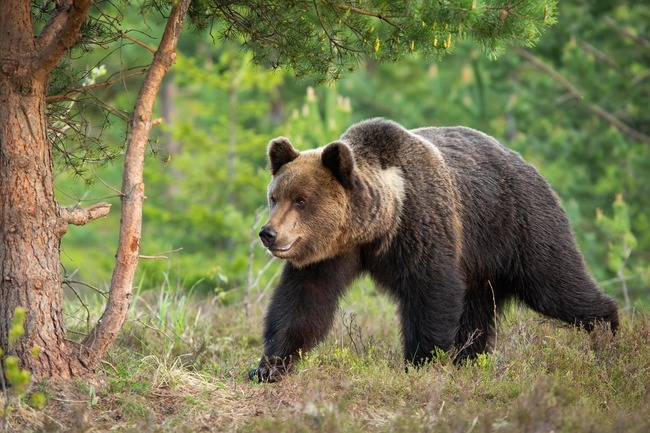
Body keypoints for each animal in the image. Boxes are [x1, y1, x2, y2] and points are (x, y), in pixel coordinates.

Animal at [249, 118, 619, 383]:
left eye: (301, 200)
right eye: (274, 196)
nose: (268, 233)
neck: (377, 226)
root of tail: (528, 165)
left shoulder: (422, 225)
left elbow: (431, 291)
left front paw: (421, 363)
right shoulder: (330, 252)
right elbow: (303, 301)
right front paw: (267, 367)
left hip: (521, 225)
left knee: (556, 285)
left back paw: (609, 333)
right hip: (481, 264)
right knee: (478, 315)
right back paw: (471, 361)